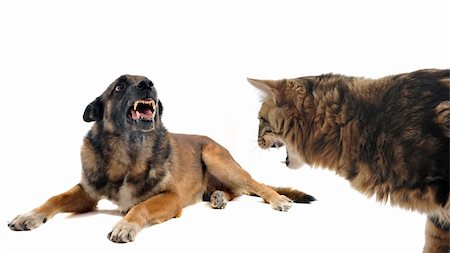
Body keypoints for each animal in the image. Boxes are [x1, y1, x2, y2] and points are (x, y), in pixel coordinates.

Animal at [7, 74, 316, 243]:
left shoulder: (170, 198)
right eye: (119, 87)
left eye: (146, 79)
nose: (148, 84)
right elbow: (54, 198)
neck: (128, 152)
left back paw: (277, 199)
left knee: (256, 186)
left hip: (215, 157)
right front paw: (29, 216)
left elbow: (138, 207)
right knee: (235, 191)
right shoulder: (87, 193)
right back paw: (218, 197)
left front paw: (125, 224)